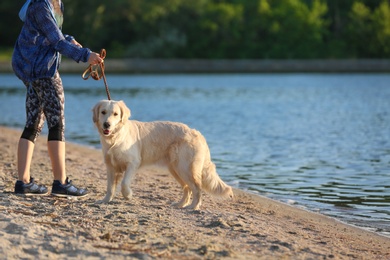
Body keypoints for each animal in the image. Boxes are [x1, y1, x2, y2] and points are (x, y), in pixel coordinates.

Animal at [93, 99, 233, 209]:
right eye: (103, 112)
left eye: (115, 114)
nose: (107, 124)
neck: (115, 138)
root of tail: (197, 133)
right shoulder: (110, 166)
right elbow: (110, 187)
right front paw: (105, 200)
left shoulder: (133, 163)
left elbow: (124, 183)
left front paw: (127, 195)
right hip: (176, 169)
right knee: (187, 188)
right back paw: (180, 204)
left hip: (185, 168)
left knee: (197, 188)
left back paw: (193, 206)